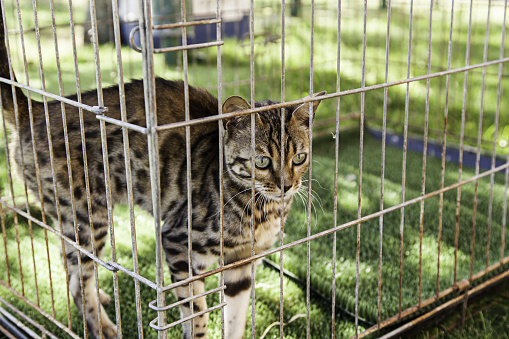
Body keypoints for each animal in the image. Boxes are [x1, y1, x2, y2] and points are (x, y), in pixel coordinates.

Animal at [0, 7, 326, 339]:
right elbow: (196, 314)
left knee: (71, 268)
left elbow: (235, 318)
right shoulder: (178, 243)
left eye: (299, 157)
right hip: (87, 217)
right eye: (261, 161)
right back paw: (104, 326)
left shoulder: (243, 261)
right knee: (79, 280)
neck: (262, 210)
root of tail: (36, 110)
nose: (286, 186)